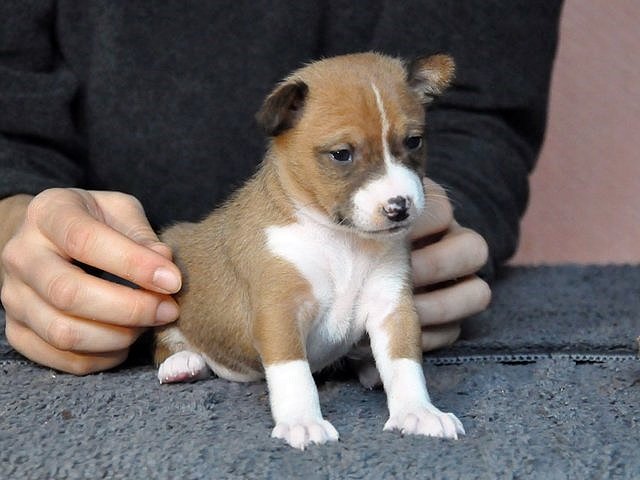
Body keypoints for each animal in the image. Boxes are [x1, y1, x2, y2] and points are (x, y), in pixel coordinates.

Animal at [154, 52, 464, 450]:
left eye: (414, 142)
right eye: (341, 154)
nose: (399, 207)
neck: (342, 241)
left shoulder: (391, 307)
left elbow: (404, 364)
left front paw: (418, 411)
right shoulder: (279, 312)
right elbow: (294, 374)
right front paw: (302, 421)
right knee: (167, 342)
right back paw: (183, 363)